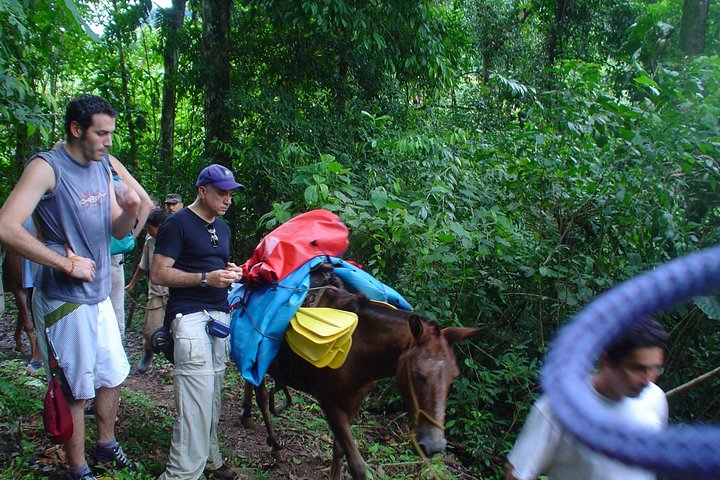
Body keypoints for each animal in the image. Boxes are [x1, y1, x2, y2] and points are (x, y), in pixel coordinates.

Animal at [243, 274, 484, 480]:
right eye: (417, 374)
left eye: (453, 376)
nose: (434, 445)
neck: (357, 347)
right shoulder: (329, 402)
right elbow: (357, 465)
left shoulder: (352, 402)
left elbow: (339, 450)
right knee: (262, 397)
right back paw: (274, 447)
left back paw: (246, 416)